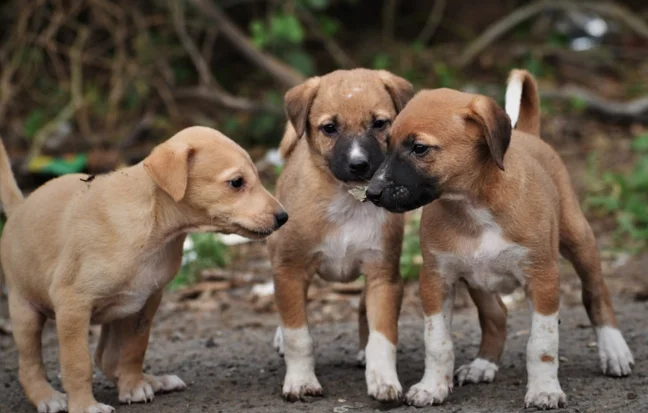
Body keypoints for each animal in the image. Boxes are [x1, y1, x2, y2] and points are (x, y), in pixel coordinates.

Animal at [0, 125, 288, 412]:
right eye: (237, 182)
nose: (284, 217)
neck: (155, 230)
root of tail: (19, 209)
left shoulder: (145, 302)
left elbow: (133, 349)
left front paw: (134, 386)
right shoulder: (72, 304)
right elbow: (77, 362)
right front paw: (85, 405)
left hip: (116, 312)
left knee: (106, 357)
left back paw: (154, 381)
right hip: (25, 312)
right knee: (30, 365)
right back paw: (47, 397)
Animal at [268, 69, 416, 400]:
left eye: (379, 123)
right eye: (329, 128)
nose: (359, 164)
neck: (349, 201)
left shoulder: (384, 275)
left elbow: (383, 336)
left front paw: (383, 379)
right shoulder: (290, 270)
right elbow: (298, 334)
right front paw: (301, 380)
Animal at [368, 69, 636, 408]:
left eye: (419, 148)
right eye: (386, 143)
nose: (371, 193)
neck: (473, 208)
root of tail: (531, 135)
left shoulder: (542, 277)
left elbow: (542, 344)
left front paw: (544, 390)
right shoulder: (435, 279)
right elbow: (437, 342)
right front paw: (433, 386)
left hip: (579, 239)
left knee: (596, 292)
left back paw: (614, 350)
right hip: (478, 281)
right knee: (497, 315)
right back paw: (483, 364)